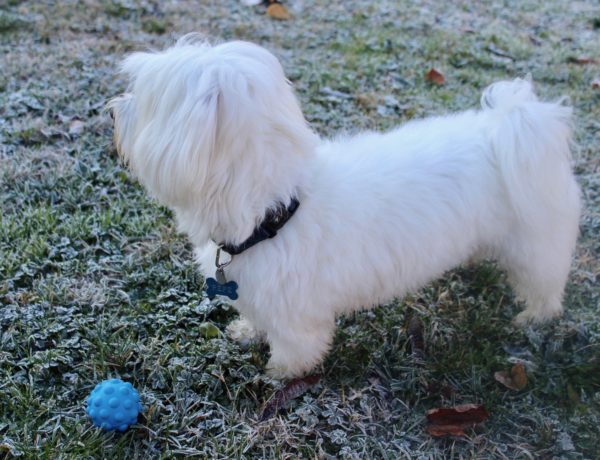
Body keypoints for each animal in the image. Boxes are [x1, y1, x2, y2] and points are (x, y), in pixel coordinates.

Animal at [109, 36, 580, 380]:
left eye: (145, 101)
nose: (113, 109)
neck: (277, 213)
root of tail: (510, 126)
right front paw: (246, 332)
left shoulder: (297, 318)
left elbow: (295, 350)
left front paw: (278, 375)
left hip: (536, 245)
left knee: (545, 287)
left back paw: (532, 318)